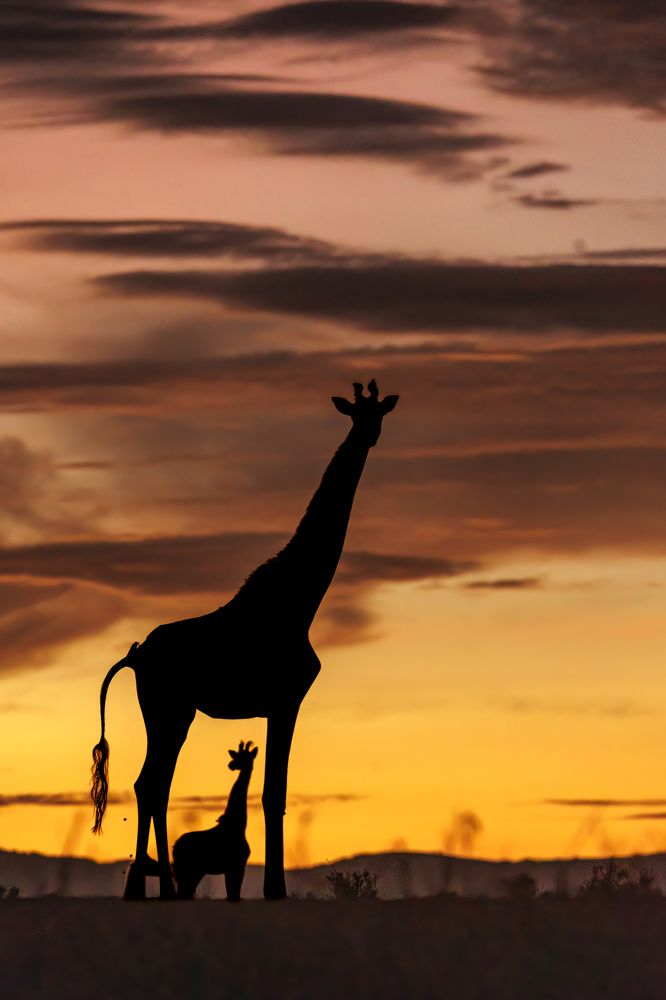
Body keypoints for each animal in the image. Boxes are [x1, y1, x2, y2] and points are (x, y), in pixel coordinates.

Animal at [172, 740, 258, 901]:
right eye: (237, 756)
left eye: (244, 757)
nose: (231, 765)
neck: (238, 824)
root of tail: (175, 847)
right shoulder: (237, 865)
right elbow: (234, 894)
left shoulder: (232, 867)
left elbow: (232, 894)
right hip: (191, 869)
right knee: (185, 892)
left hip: (193, 871)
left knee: (186, 892)